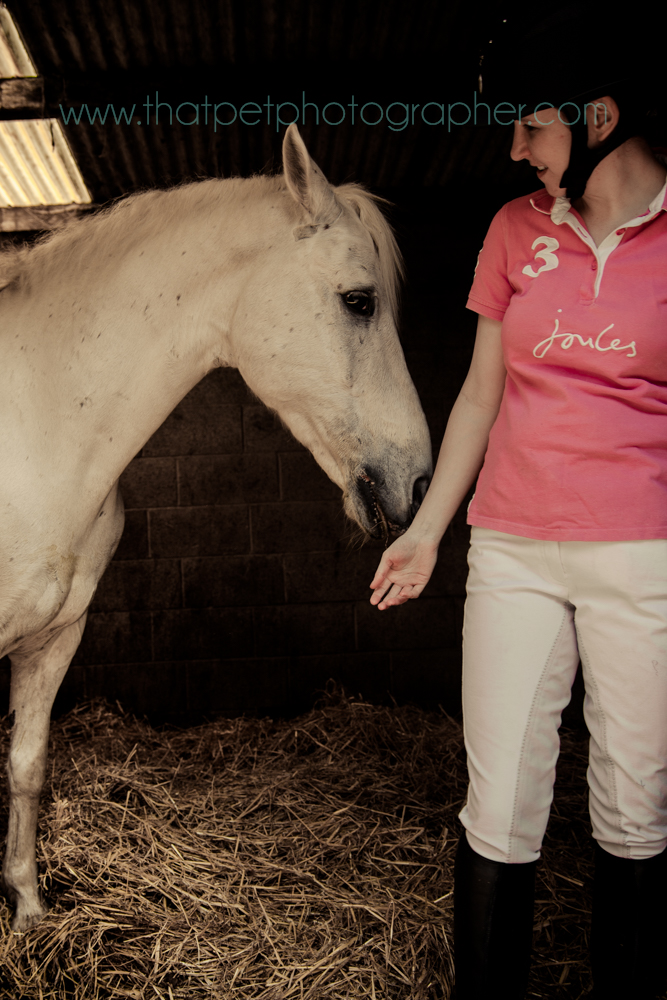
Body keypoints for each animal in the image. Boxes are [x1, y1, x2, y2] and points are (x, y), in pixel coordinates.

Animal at [0, 123, 432, 931]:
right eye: (359, 302)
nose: (419, 482)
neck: (33, 421)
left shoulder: (55, 636)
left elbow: (26, 764)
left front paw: (31, 914)